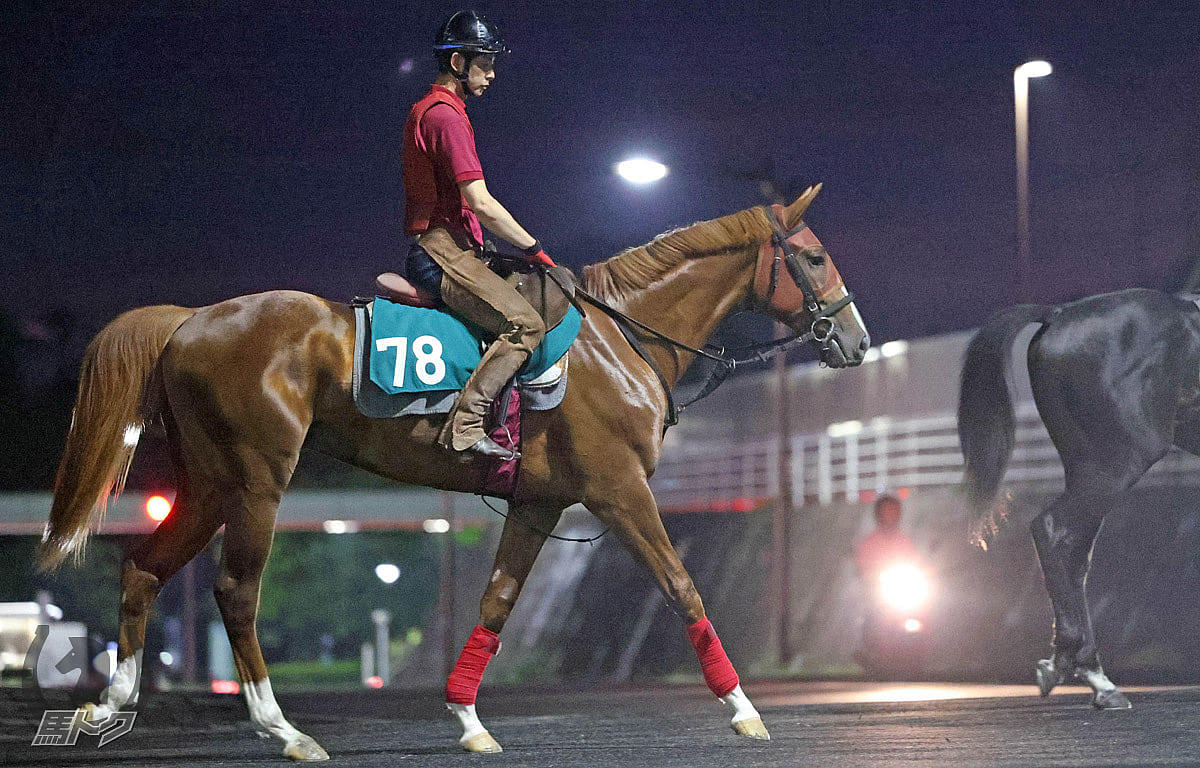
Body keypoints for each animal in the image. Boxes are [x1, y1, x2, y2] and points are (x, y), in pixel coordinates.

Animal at [37, 184, 864, 758]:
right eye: (814, 256)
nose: (855, 341)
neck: (619, 338)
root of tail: (191, 320)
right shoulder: (620, 491)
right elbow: (682, 586)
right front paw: (745, 710)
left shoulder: (539, 503)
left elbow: (497, 602)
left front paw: (468, 720)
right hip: (256, 483)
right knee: (237, 592)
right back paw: (285, 730)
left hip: (209, 483)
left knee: (144, 567)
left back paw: (110, 701)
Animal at [960, 286, 1200, 710]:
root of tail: (1060, 313)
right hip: (1118, 463)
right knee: (1054, 530)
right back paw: (1087, 672)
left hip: (1088, 465)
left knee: (1073, 551)